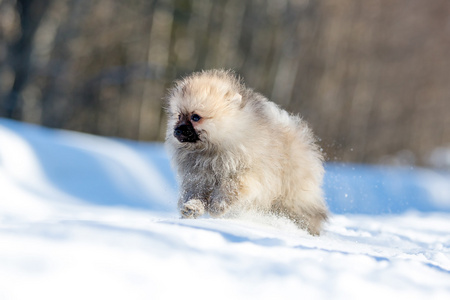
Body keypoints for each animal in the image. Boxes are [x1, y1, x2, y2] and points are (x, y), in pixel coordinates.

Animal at [165, 69, 326, 234]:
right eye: (179, 116)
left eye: (196, 117)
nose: (177, 130)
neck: (212, 149)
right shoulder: (198, 177)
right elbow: (196, 194)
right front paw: (192, 208)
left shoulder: (248, 173)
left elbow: (231, 187)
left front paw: (218, 205)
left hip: (292, 195)